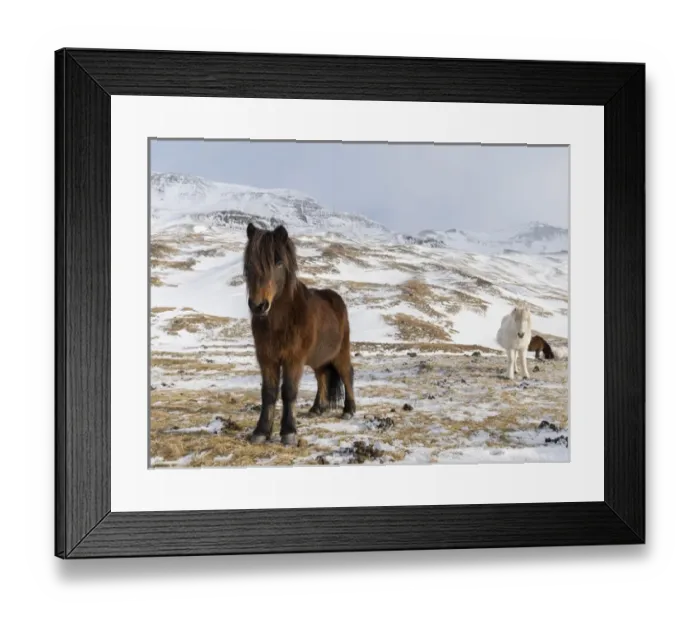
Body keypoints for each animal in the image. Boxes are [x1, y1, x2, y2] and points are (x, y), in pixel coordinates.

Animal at [243, 222, 356, 446]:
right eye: (249, 262)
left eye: (278, 262)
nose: (259, 306)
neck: (279, 321)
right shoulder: (266, 359)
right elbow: (268, 393)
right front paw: (261, 432)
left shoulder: (293, 359)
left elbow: (288, 391)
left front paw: (288, 433)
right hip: (319, 359)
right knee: (322, 377)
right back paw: (317, 408)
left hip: (340, 353)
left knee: (347, 374)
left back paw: (349, 410)